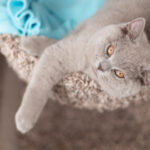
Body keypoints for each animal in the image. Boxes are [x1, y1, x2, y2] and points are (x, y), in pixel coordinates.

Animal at [15, 0, 150, 134]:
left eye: (119, 73)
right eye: (110, 50)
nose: (101, 66)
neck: (86, 64)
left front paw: (24, 120)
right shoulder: (70, 44)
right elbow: (38, 86)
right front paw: (24, 119)